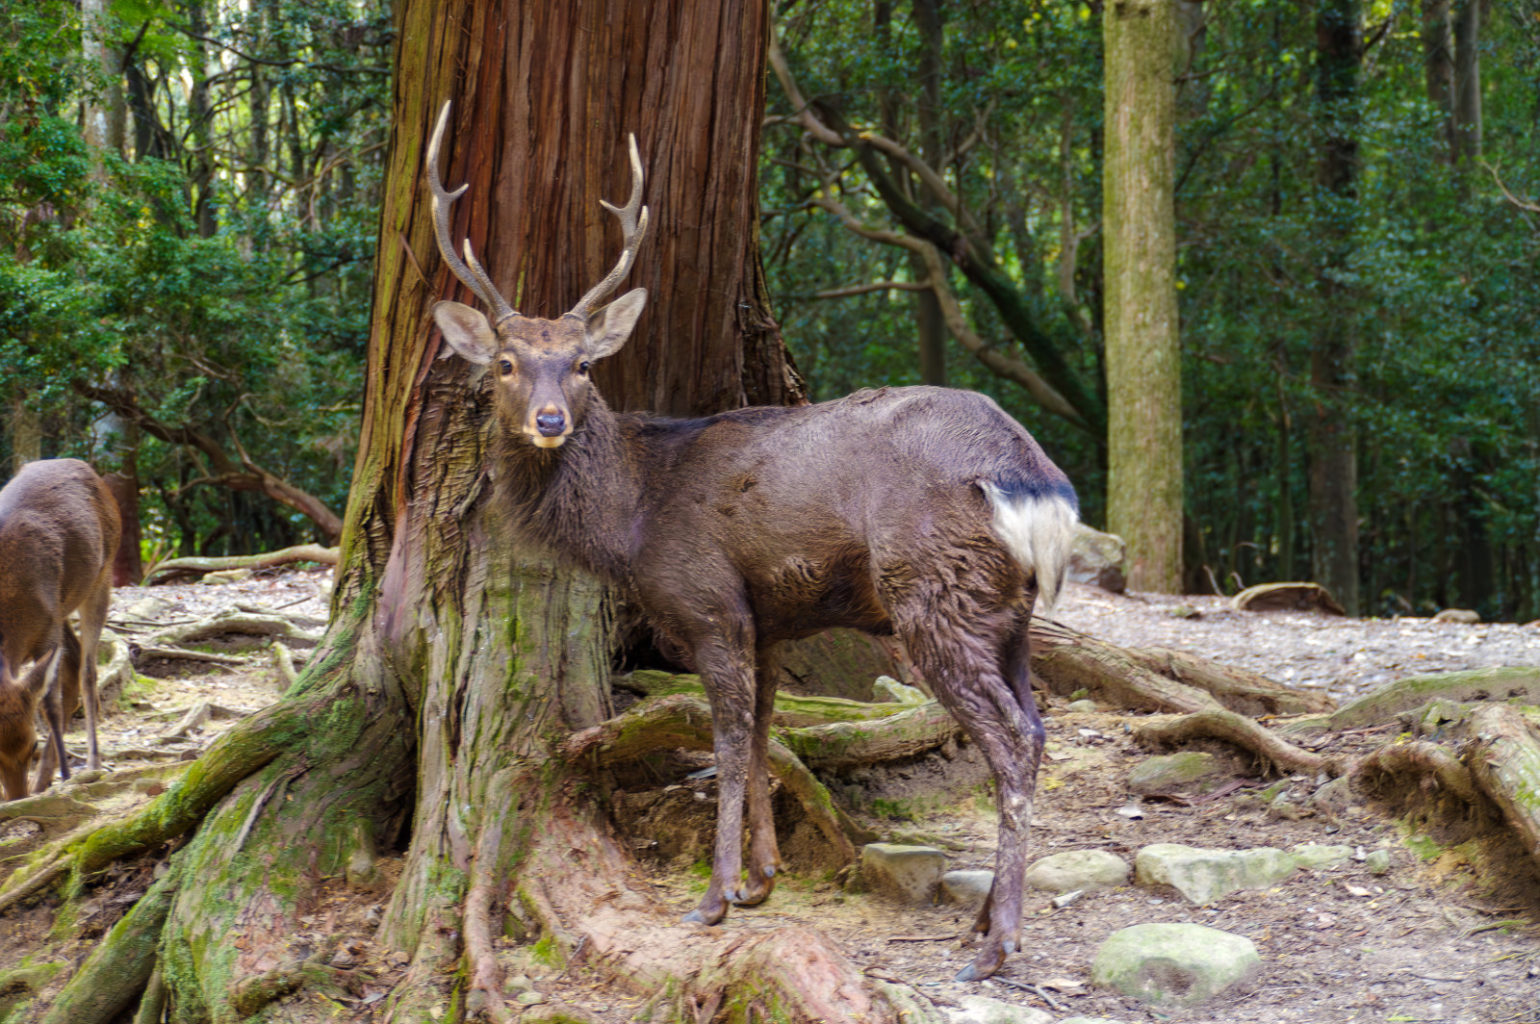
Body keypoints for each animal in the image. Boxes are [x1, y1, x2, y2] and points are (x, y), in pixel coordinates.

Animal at [0, 458, 119, 800]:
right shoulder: (51, 620)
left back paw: (90, 764)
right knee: (73, 659)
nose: (17, 799)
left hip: (102, 575)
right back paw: (45, 780)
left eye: (32, 746)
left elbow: (49, 705)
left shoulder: (46, 629)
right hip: (63, 607)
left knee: (87, 671)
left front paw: (65, 775)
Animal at [428, 103, 1078, 985]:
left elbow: (730, 743)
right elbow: (769, 728)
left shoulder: (708, 602)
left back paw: (997, 944)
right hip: (1008, 611)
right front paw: (765, 878)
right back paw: (979, 923)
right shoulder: (768, 617)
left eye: (584, 364)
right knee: (1037, 727)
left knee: (1011, 742)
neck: (635, 517)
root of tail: (1032, 478)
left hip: (934, 591)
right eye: (504, 362)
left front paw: (716, 895)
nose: (550, 419)